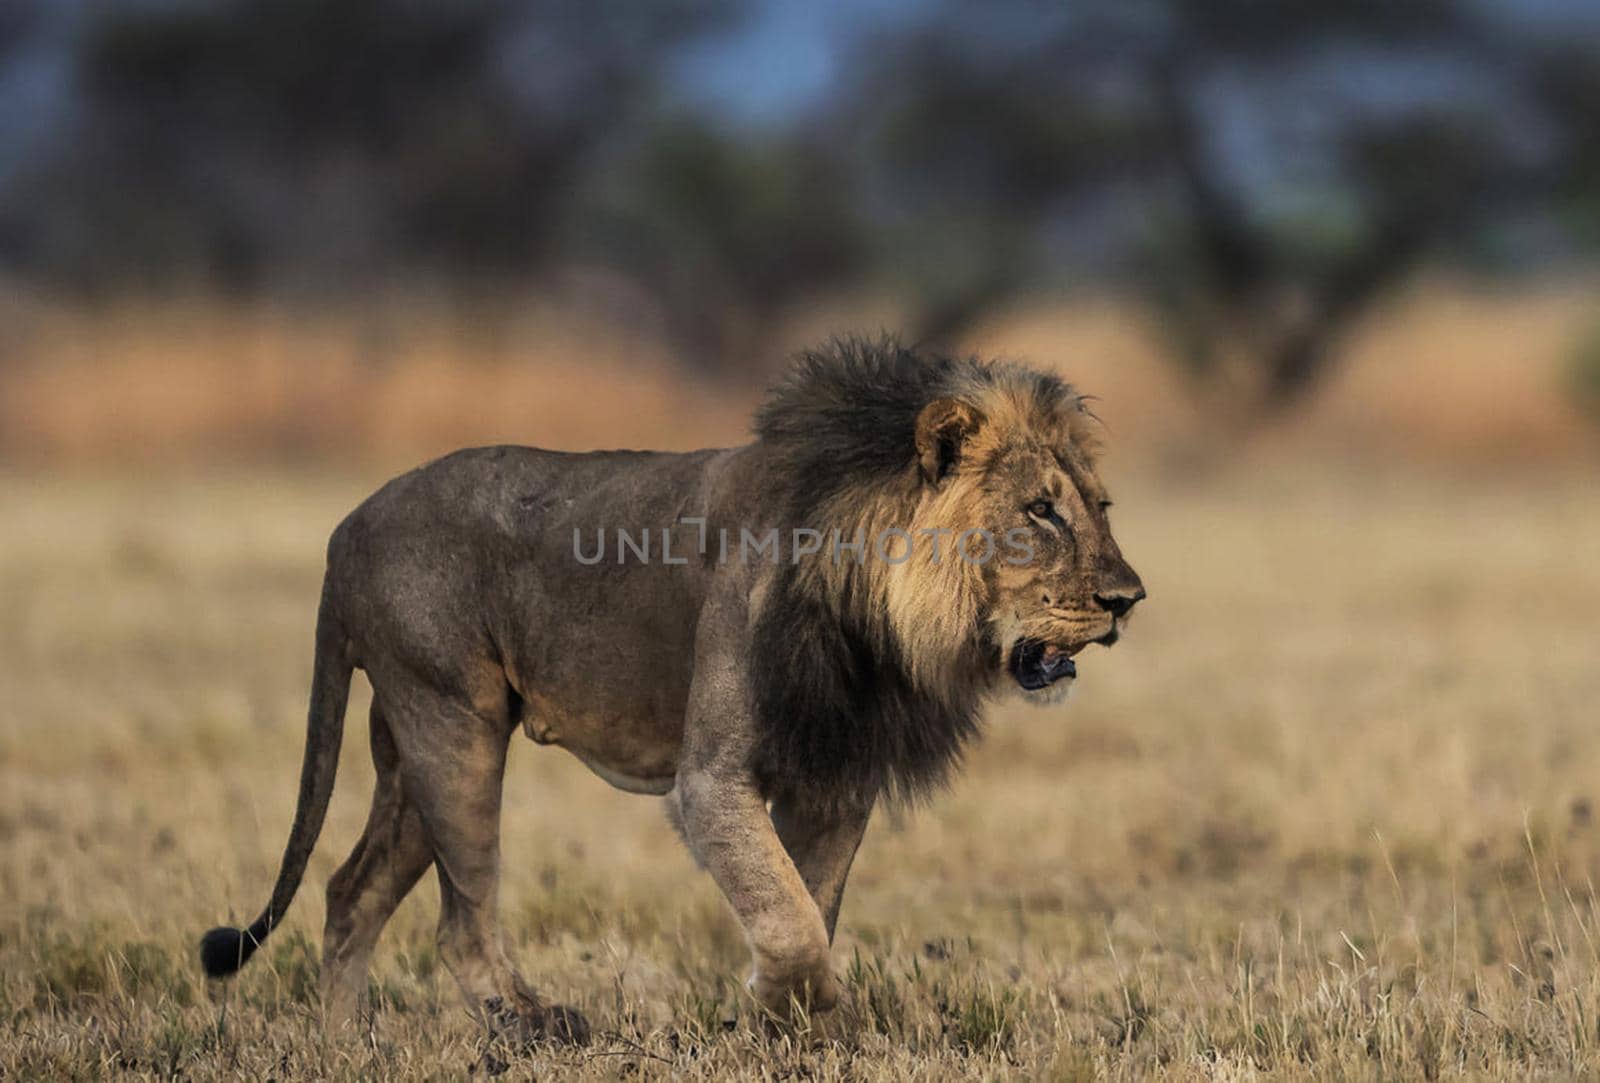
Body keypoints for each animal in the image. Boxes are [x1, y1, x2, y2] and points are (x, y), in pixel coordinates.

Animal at [200, 335, 1145, 1036]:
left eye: (1099, 506)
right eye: (1040, 511)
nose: (1128, 599)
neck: (872, 614)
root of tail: (345, 531)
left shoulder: (837, 774)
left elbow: (808, 900)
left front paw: (786, 1024)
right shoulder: (712, 777)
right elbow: (789, 915)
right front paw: (778, 1006)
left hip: (408, 743)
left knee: (349, 892)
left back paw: (342, 1045)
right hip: (452, 726)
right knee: (459, 920)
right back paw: (536, 1023)